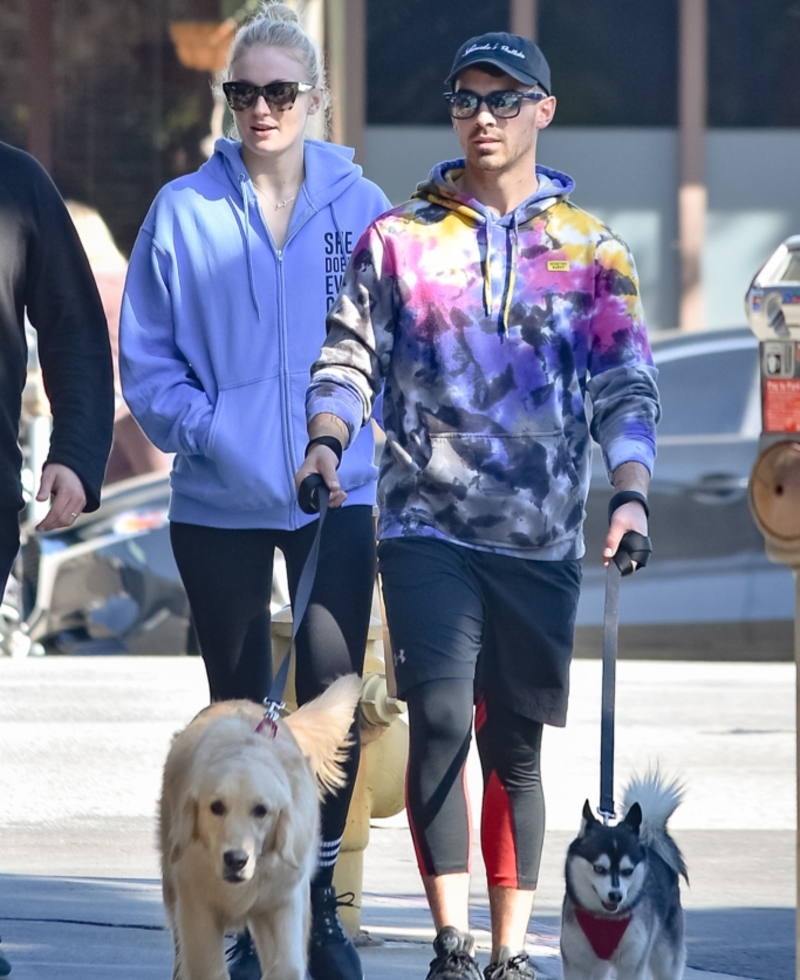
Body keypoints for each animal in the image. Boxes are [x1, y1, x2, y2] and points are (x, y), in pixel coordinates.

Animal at [159, 672, 360, 980]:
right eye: (216, 807)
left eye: (261, 811)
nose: (235, 860)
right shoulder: (196, 908)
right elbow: (207, 967)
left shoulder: (283, 901)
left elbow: (286, 966)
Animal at [560, 772, 684, 980]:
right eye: (599, 868)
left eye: (628, 871)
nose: (616, 895)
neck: (604, 919)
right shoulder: (576, 963)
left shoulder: (632, 962)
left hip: (666, 958)